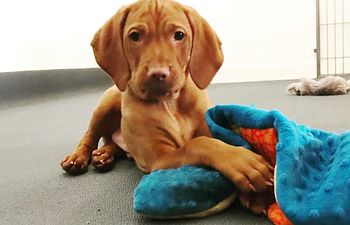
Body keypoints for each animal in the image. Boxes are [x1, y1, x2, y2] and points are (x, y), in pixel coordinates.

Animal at [59, 0, 274, 214]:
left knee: (113, 144)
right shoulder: (159, 158)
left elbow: (214, 140)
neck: (170, 103)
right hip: (107, 103)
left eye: (179, 35)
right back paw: (79, 157)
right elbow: (198, 144)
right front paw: (242, 162)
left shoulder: (208, 129)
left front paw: (261, 195)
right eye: (134, 36)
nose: (158, 74)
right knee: (90, 135)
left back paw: (104, 155)